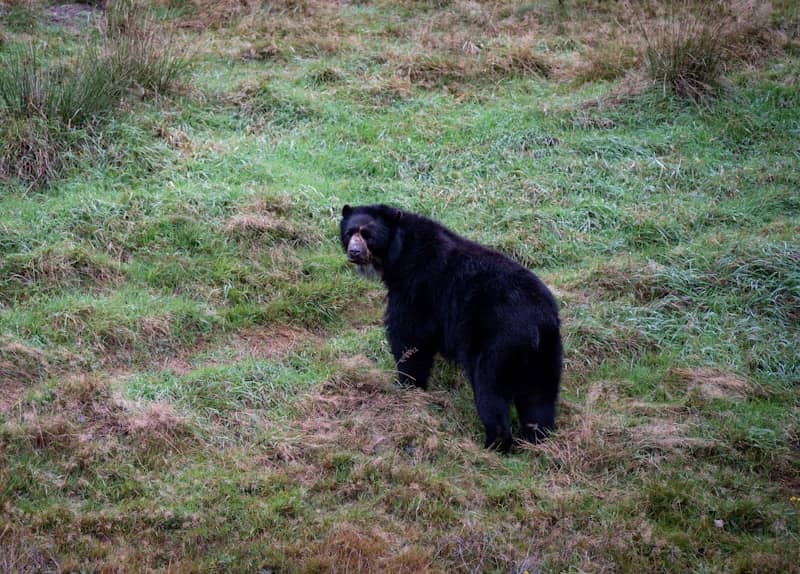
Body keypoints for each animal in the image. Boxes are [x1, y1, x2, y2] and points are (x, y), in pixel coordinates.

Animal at [339, 204, 562, 452]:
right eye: (349, 233)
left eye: (368, 235)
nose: (354, 252)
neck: (399, 253)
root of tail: (537, 324)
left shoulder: (418, 288)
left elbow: (410, 337)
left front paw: (407, 384)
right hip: (545, 355)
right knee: (539, 398)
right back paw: (536, 440)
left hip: (497, 345)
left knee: (490, 392)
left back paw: (494, 444)